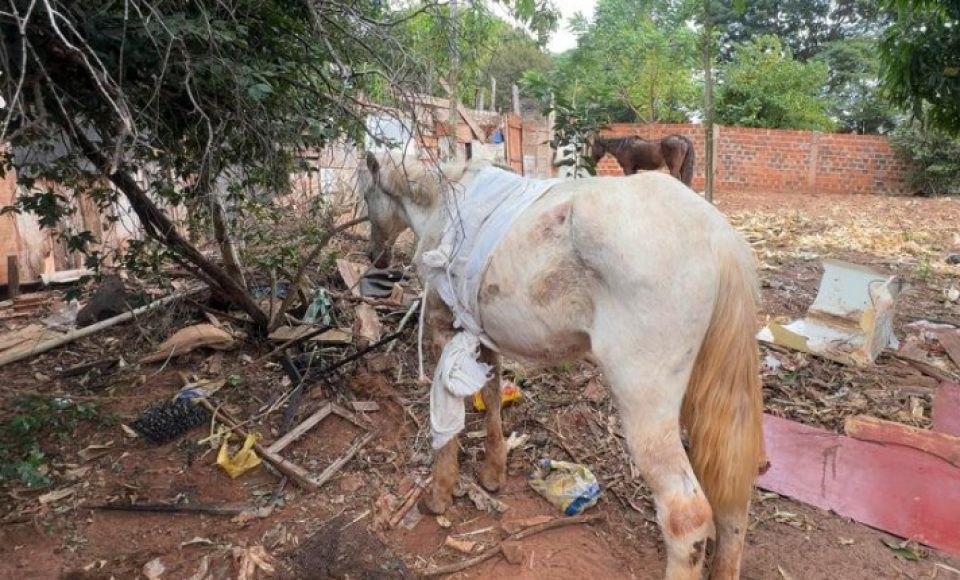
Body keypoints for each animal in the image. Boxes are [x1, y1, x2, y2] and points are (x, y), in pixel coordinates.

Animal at [362, 150, 765, 580]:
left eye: (366, 194)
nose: (374, 256)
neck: (443, 199)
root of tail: (716, 234)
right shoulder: (480, 333)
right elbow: (491, 396)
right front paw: (493, 474)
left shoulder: (444, 327)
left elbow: (448, 424)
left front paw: (440, 493)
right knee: (732, 501)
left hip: (645, 402)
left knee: (686, 514)